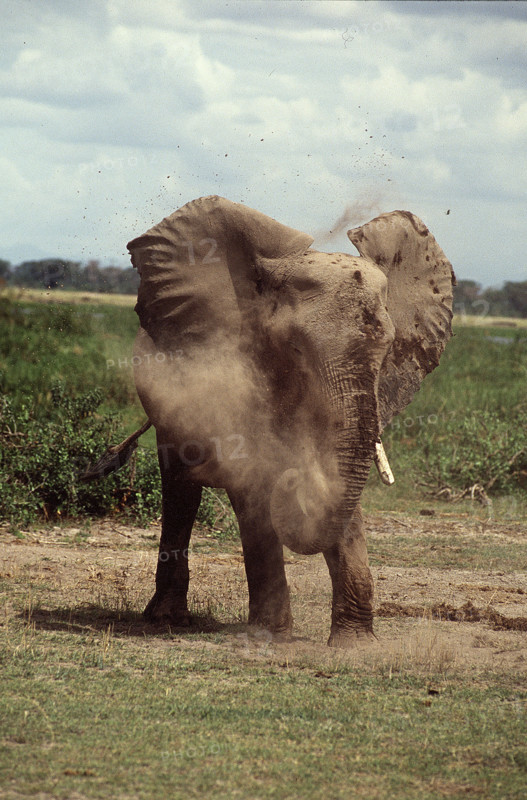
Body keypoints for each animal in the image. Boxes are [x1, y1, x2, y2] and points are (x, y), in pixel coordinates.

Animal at [122, 195, 455, 647]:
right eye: (295, 349)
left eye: (387, 350)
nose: (297, 480)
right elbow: (254, 483)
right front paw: (271, 635)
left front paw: (355, 646)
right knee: (180, 488)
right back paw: (167, 620)